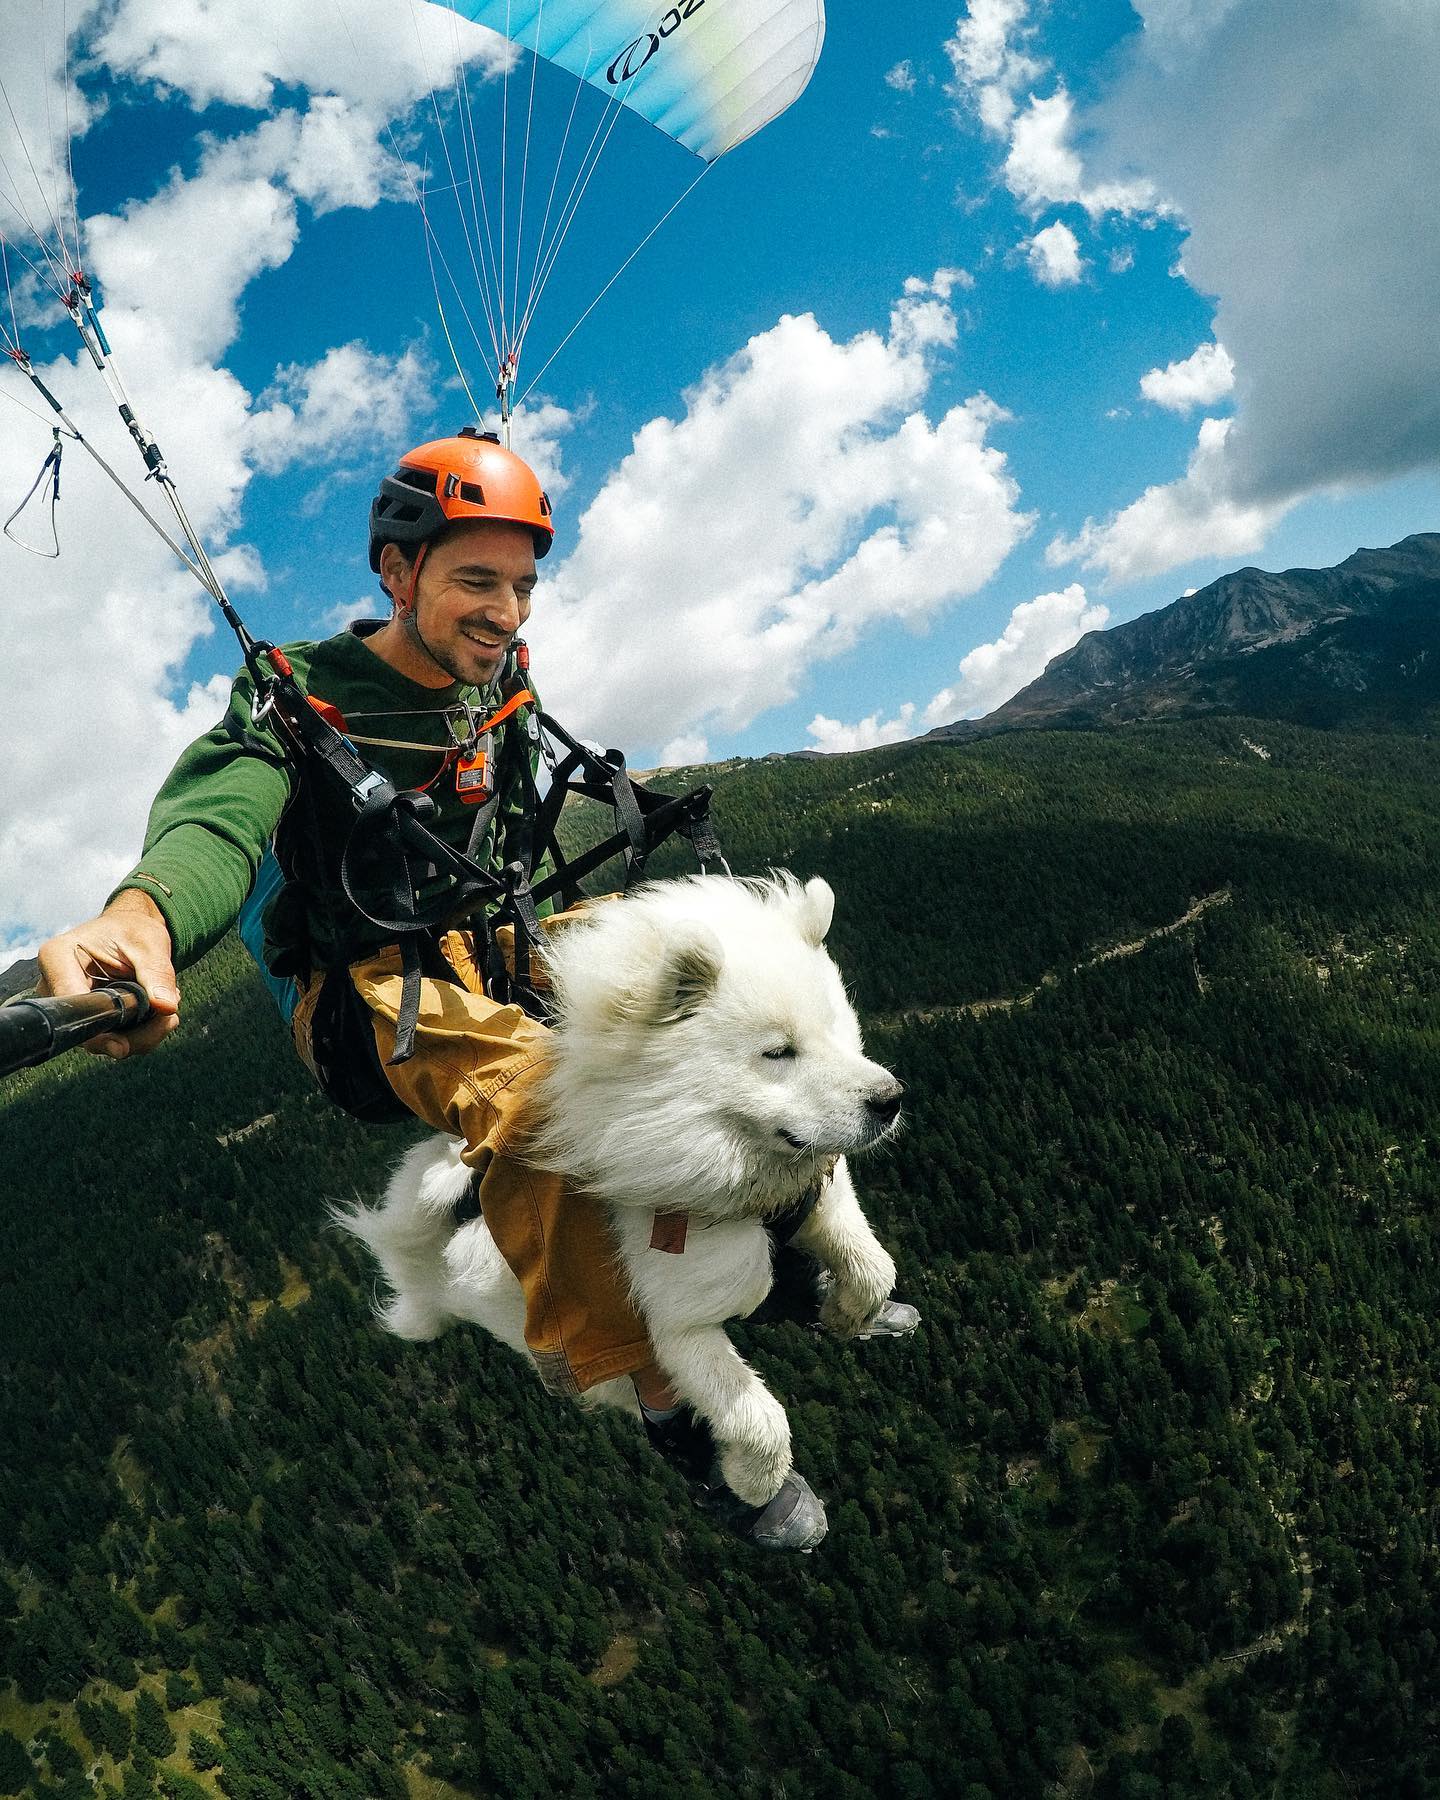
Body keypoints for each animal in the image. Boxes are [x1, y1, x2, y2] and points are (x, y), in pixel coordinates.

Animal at [331, 871, 907, 1548]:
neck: (735, 1180)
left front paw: (846, 1311)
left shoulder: (822, 1198)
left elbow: (872, 1264)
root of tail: (426, 1274)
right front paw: (755, 1483)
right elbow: (755, 1414)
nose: (891, 1100)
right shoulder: (677, 1321)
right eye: (778, 1052)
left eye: (839, 1028)